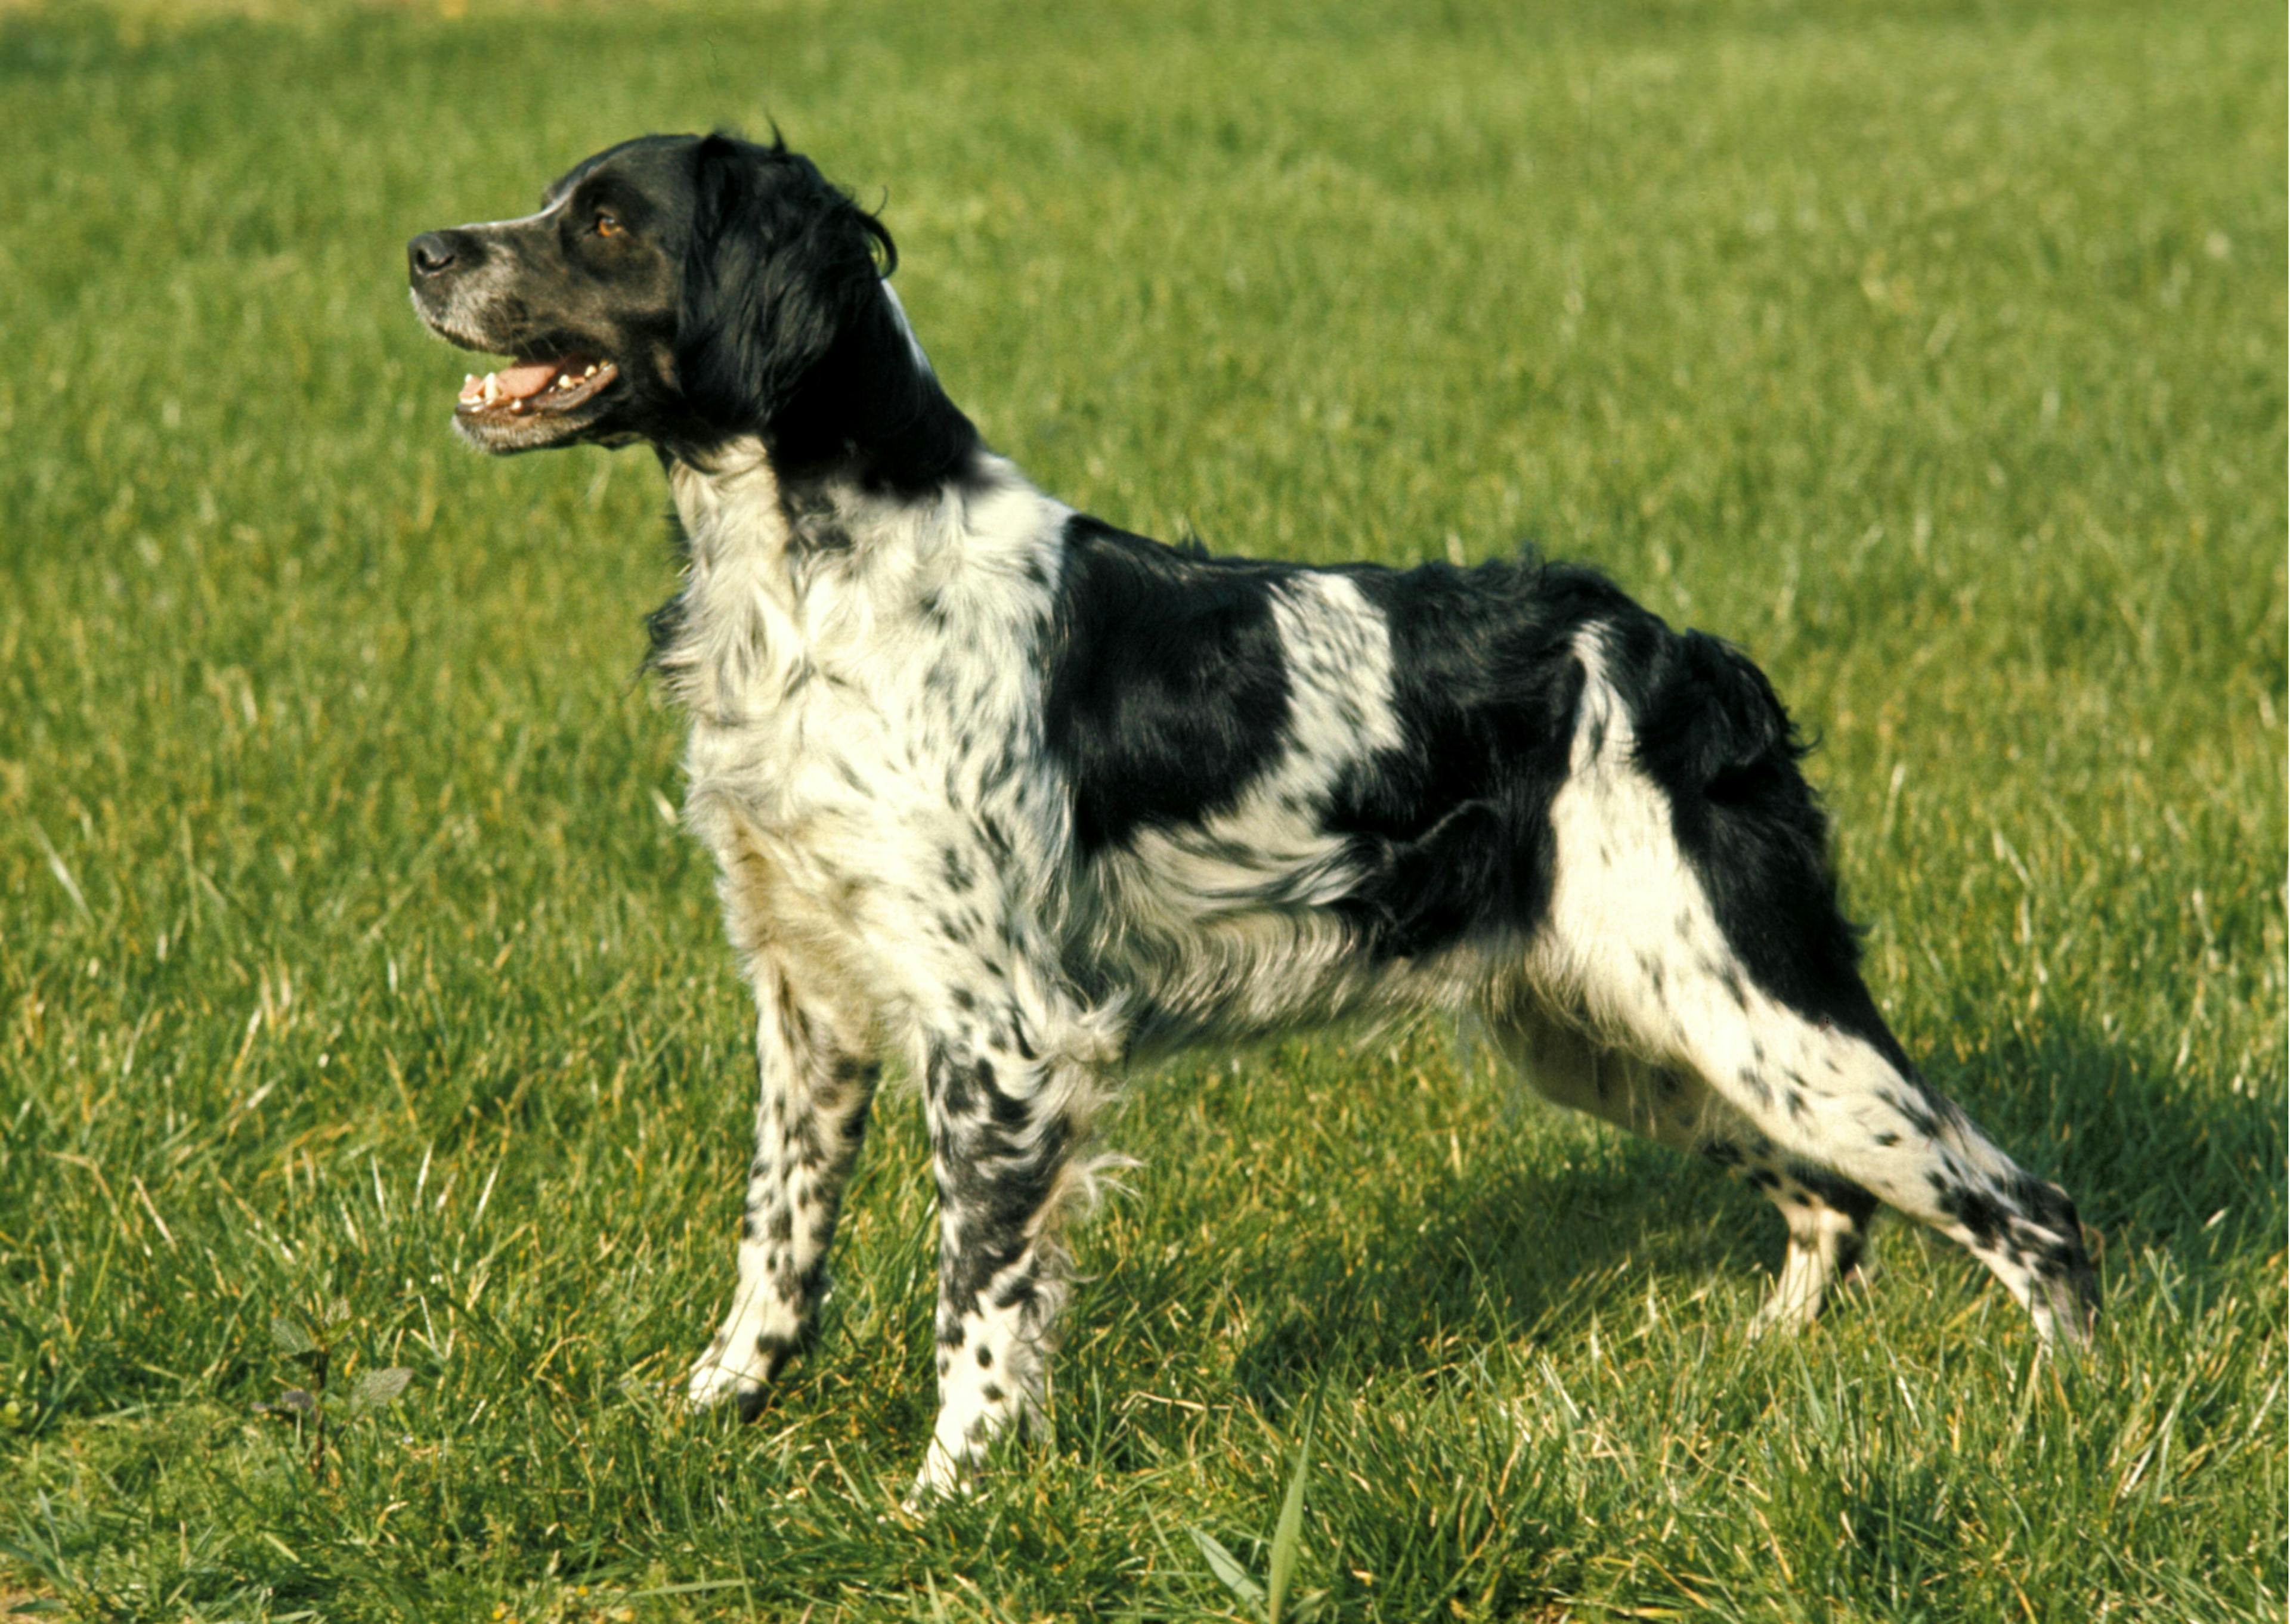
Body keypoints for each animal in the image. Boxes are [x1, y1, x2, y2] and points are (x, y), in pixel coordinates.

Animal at [407, 132, 2097, 1502]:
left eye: (605, 223)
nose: (421, 248)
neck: (819, 584)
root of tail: (1680, 651)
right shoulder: (809, 997)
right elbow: (777, 1248)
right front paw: (708, 1416)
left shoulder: (1004, 1038)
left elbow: (975, 1300)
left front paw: (945, 1502)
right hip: (1629, 1033)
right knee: (1834, 1208)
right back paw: (1764, 1362)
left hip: (1761, 1014)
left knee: (2031, 1211)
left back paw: (2067, 1425)